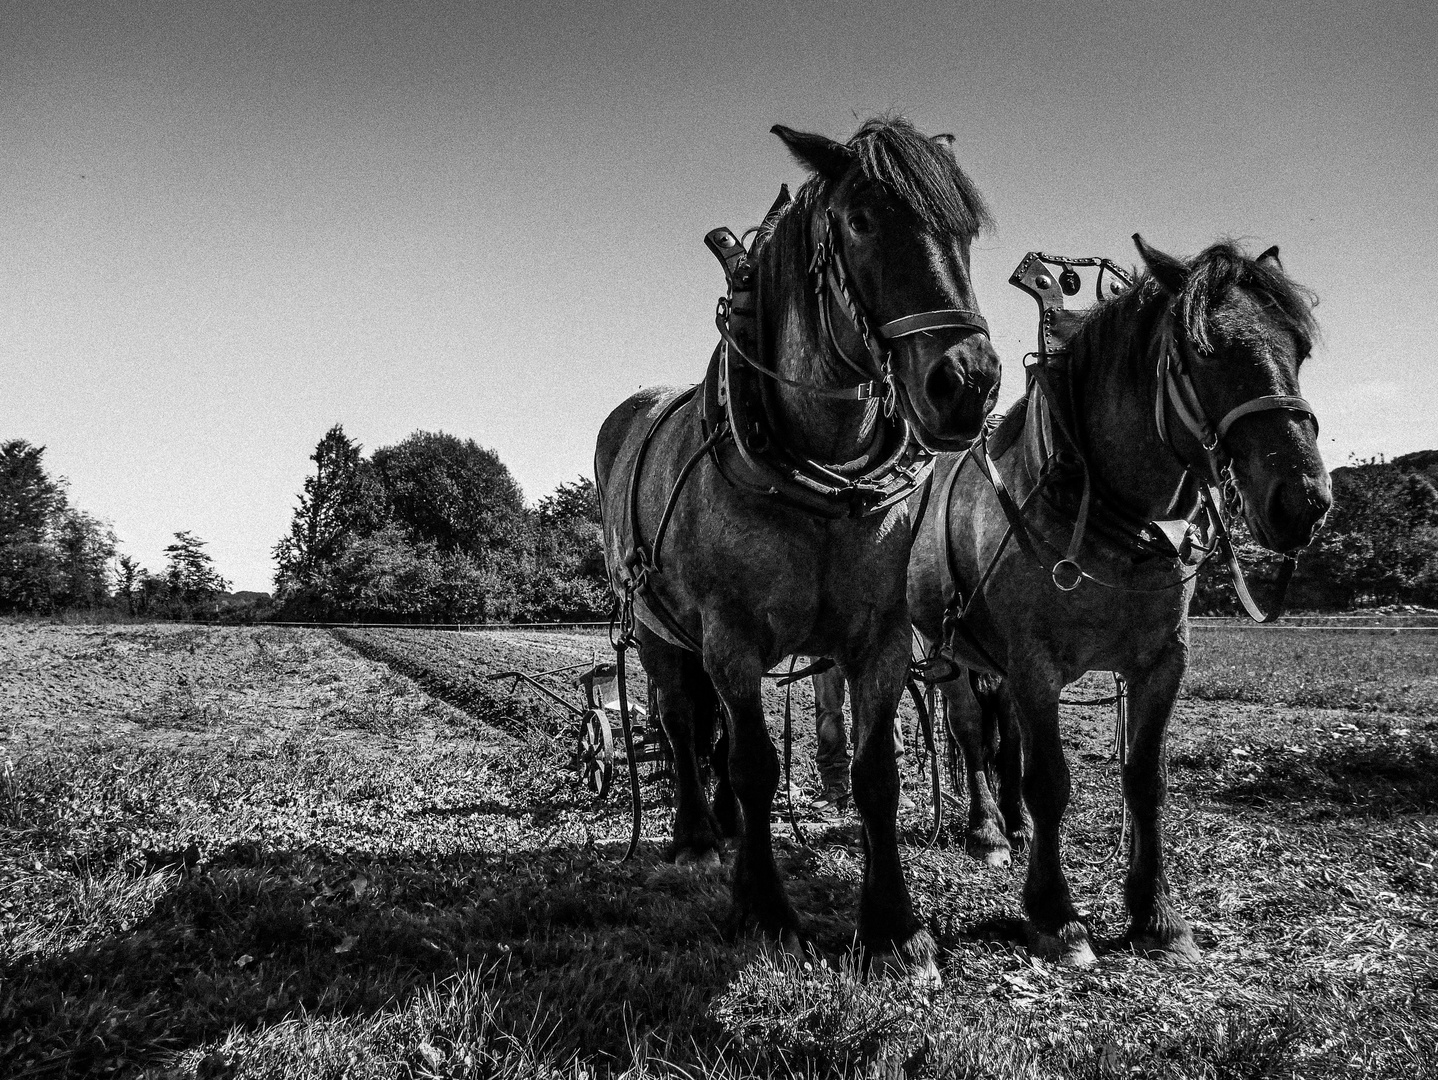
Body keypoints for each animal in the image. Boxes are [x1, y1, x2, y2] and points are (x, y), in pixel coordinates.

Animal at [595, 120, 1000, 977]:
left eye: (964, 232)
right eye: (861, 222)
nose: (968, 385)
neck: (823, 480)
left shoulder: (882, 639)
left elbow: (876, 773)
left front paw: (895, 927)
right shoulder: (732, 637)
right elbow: (753, 763)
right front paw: (766, 913)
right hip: (657, 629)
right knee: (684, 725)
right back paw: (696, 836)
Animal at [914, 240, 1328, 966]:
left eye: (1299, 349)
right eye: (1205, 350)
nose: (1303, 501)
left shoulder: (1160, 664)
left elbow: (1144, 779)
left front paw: (1157, 916)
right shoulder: (1034, 665)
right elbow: (1049, 781)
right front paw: (1057, 917)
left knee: (1003, 735)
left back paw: (1013, 827)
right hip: (949, 650)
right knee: (967, 732)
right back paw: (986, 830)